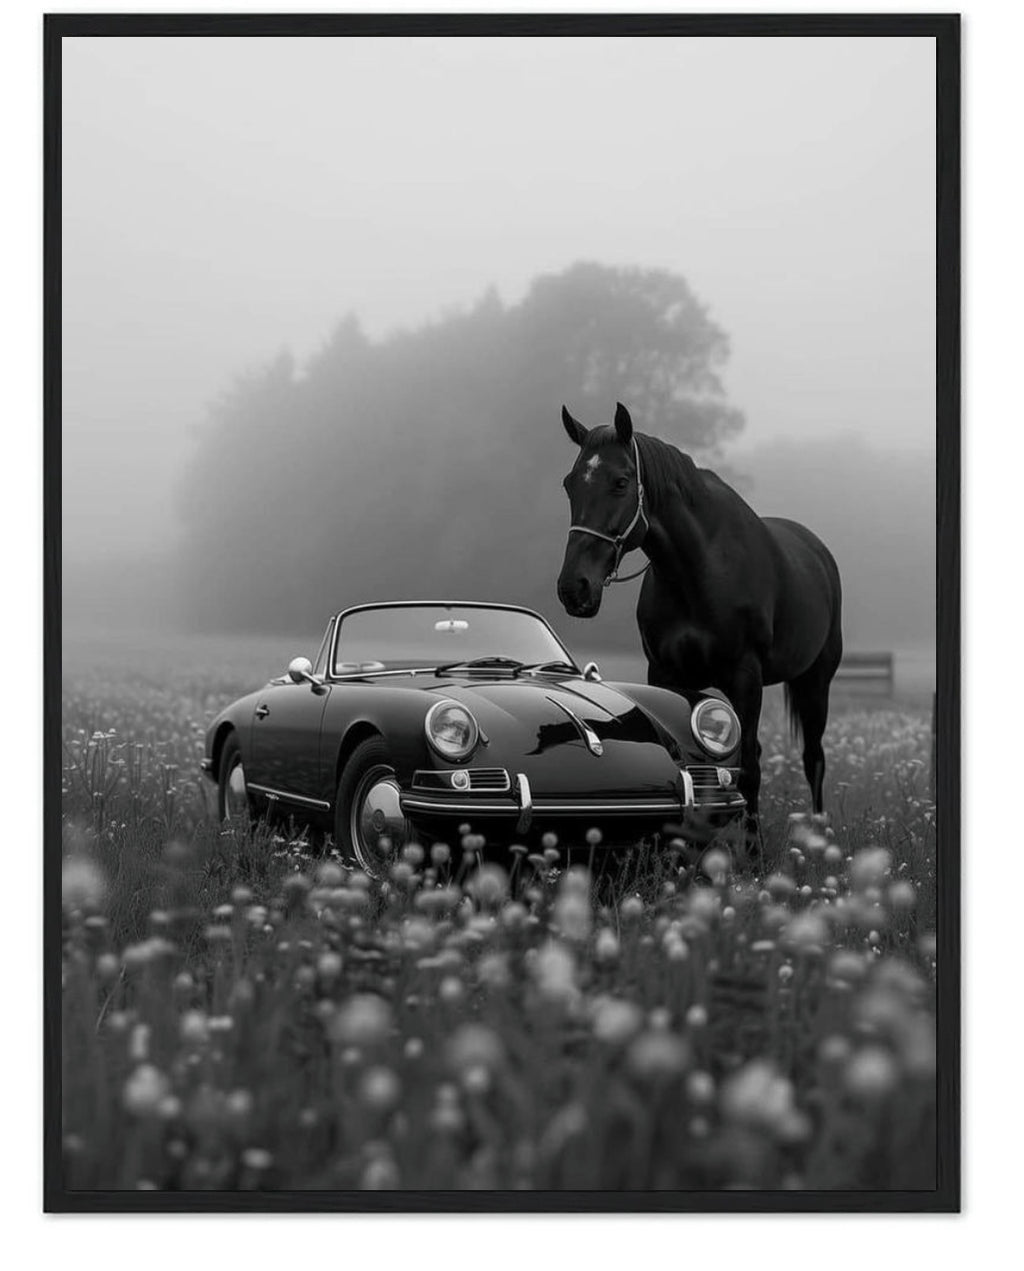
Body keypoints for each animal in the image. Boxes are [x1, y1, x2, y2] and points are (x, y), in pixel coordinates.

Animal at [556, 402, 843, 834]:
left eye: (621, 482)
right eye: (570, 484)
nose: (574, 588)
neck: (700, 571)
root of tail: (818, 550)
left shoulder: (746, 677)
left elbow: (750, 770)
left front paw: (753, 849)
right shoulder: (663, 673)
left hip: (815, 680)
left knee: (814, 759)